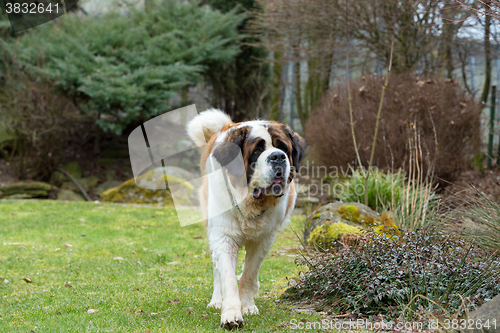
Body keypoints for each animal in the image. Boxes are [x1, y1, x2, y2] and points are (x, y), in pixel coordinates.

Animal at [187, 109, 304, 330]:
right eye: (257, 151)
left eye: (284, 147)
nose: (278, 156)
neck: (251, 203)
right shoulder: (223, 237)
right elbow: (227, 276)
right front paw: (231, 313)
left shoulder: (264, 240)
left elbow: (249, 273)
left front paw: (247, 305)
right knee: (217, 270)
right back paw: (217, 300)